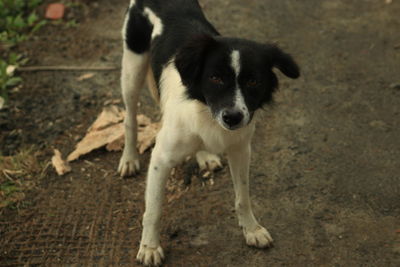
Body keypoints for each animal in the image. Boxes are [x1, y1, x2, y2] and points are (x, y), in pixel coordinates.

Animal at [119, 0, 300, 266]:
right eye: (215, 78)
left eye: (253, 81)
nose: (233, 117)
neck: (207, 115)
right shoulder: (161, 159)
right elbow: (154, 209)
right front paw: (150, 247)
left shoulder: (240, 149)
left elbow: (243, 196)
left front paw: (252, 229)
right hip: (132, 68)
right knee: (130, 118)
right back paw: (129, 158)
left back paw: (204, 155)